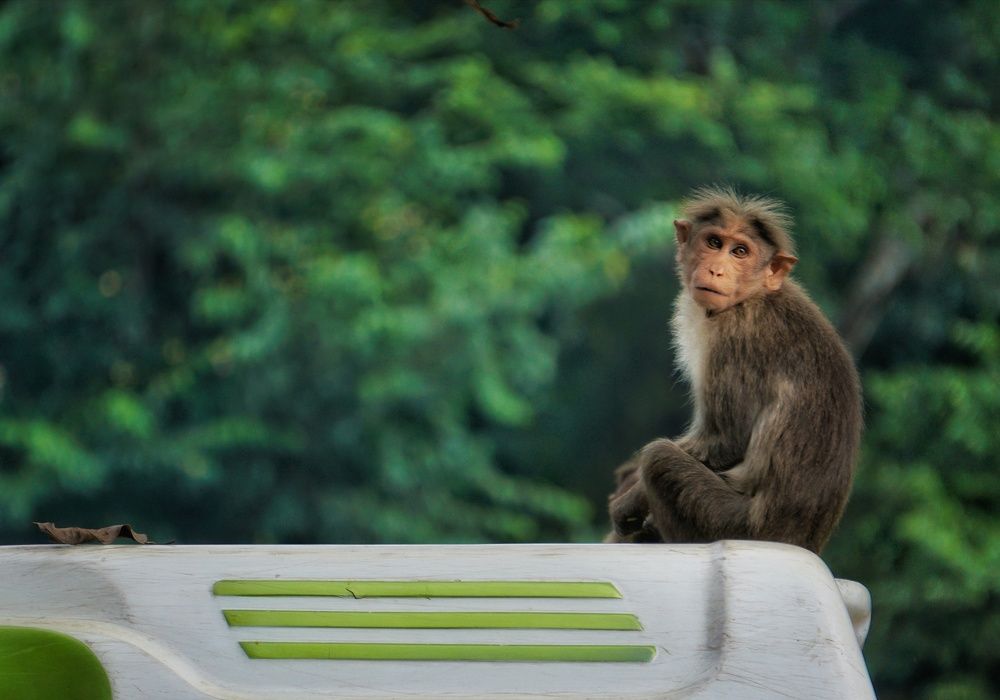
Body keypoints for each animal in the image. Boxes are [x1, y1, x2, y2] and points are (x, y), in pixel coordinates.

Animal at [606, 186, 862, 554]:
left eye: (740, 251)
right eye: (714, 242)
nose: (717, 270)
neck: (753, 295)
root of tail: (800, 541)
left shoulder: (735, 338)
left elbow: (728, 439)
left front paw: (631, 498)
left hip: (725, 521)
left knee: (659, 459)